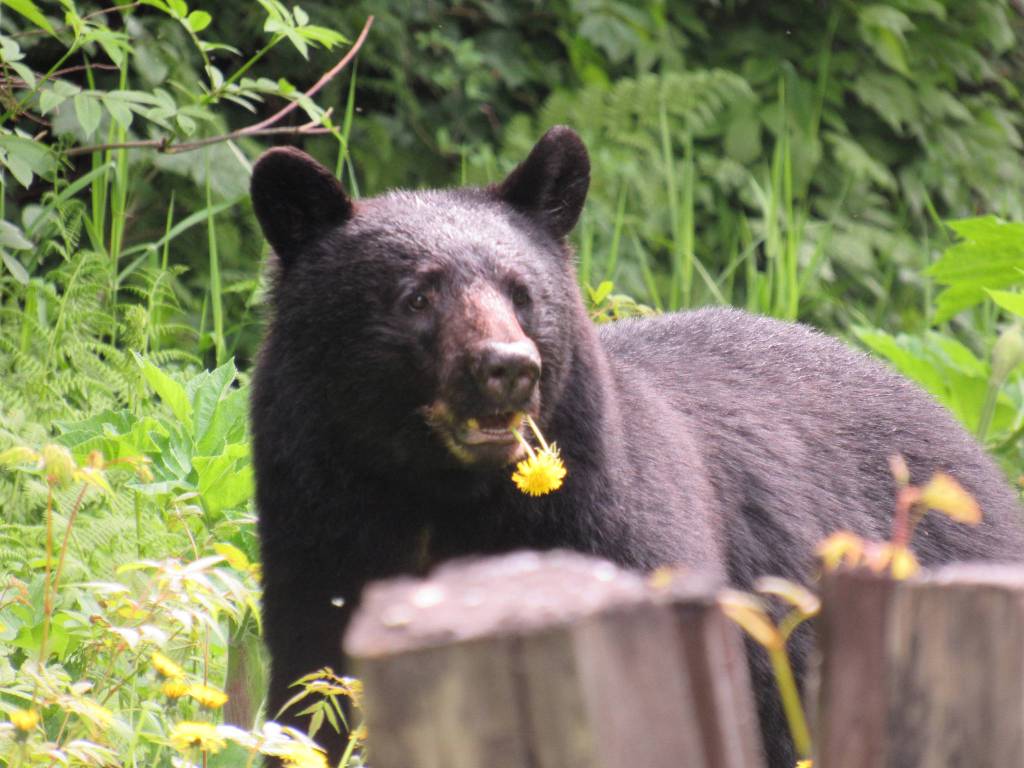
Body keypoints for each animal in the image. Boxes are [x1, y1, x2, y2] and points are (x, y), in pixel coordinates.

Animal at [249, 126, 1024, 767]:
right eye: (417, 297)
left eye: (523, 293)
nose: (508, 366)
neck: (438, 496)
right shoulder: (317, 532)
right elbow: (309, 698)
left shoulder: (615, 531)